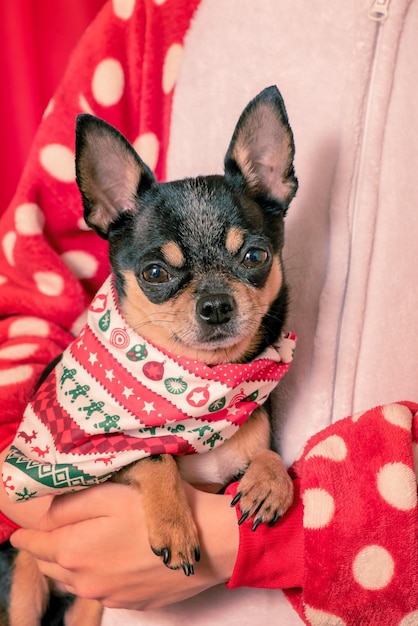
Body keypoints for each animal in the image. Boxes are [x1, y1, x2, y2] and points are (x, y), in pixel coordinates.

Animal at [6, 84, 298, 624]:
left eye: (255, 256)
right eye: (156, 274)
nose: (215, 304)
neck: (202, 382)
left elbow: (266, 452)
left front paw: (270, 482)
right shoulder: (93, 463)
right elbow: (151, 455)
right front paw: (174, 524)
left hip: (88, 606)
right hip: (22, 581)